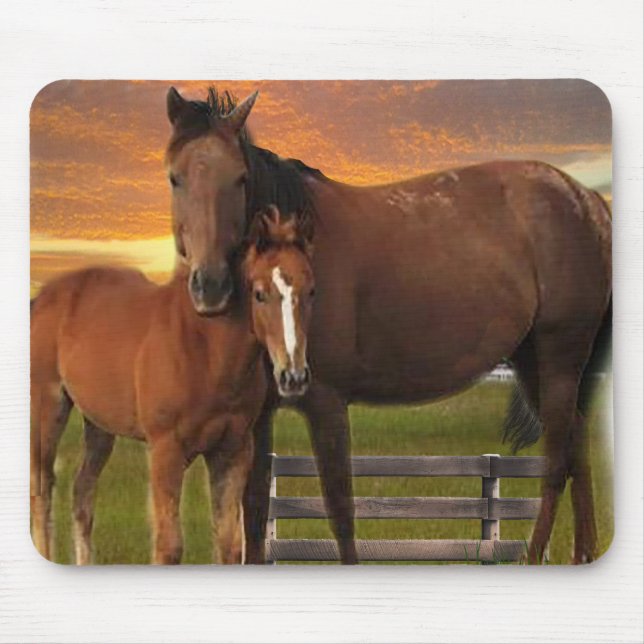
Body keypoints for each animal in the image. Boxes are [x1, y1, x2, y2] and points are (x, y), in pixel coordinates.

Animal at [30, 204, 315, 564]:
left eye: (311, 291)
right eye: (260, 294)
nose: (294, 376)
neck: (207, 352)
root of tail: (44, 297)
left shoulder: (233, 451)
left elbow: (229, 544)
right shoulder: (165, 450)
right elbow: (169, 545)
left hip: (98, 424)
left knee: (82, 491)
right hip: (47, 407)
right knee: (42, 489)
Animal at [163, 87, 612, 565]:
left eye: (240, 178)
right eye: (175, 178)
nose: (211, 285)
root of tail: (588, 201)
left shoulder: (326, 401)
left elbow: (340, 508)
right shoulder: (259, 415)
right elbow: (253, 511)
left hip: (560, 355)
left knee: (557, 464)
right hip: (534, 363)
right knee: (576, 446)